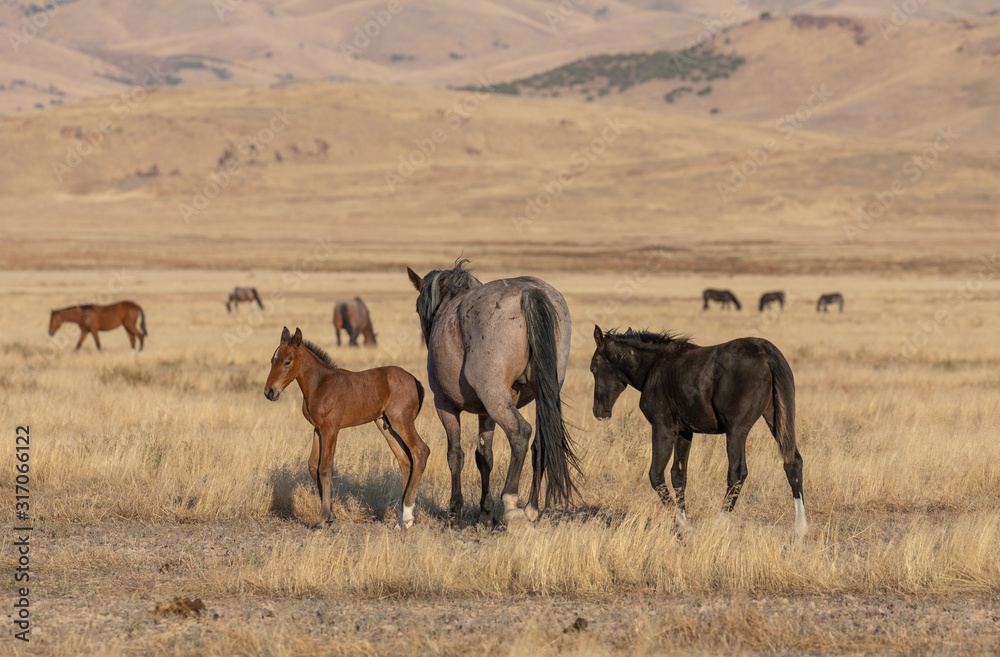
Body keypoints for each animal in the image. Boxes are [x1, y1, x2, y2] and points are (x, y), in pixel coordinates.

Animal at [264, 326, 428, 528]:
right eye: (272, 360)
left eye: (287, 361)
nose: (269, 392)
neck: (319, 384)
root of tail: (416, 381)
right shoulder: (317, 430)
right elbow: (313, 466)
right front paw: (331, 515)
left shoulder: (331, 429)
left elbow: (325, 468)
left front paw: (322, 519)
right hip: (386, 425)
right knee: (405, 461)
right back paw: (401, 521)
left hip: (401, 420)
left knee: (420, 451)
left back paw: (407, 517)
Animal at [404, 258, 580, 524]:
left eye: (418, 308)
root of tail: (529, 291)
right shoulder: (485, 413)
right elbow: (484, 457)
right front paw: (485, 514)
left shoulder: (444, 405)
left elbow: (455, 455)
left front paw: (455, 511)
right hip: (541, 395)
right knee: (541, 442)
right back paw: (531, 508)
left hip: (495, 397)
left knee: (520, 433)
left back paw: (511, 503)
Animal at [588, 328, 808, 540]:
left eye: (593, 368)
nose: (599, 412)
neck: (655, 366)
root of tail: (768, 353)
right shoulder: (684, 432)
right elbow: (678, 475)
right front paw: (683, 522)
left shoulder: (663, 429)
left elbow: (656, 475)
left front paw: (684, 527)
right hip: (776, 419)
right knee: (793, 462)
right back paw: (800, 528)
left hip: (737, 430)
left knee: (737, 473)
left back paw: (719, 523)